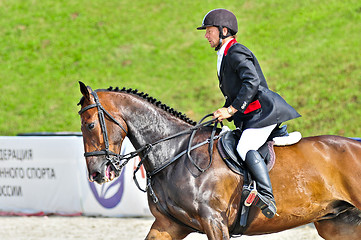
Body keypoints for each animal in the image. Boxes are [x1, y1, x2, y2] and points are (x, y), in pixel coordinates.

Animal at [77, 81, 360, 239]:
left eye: (89, 125)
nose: (97, 174)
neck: (175, 151)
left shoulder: (214, 221)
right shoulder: (169, 224)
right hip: (338, 224)